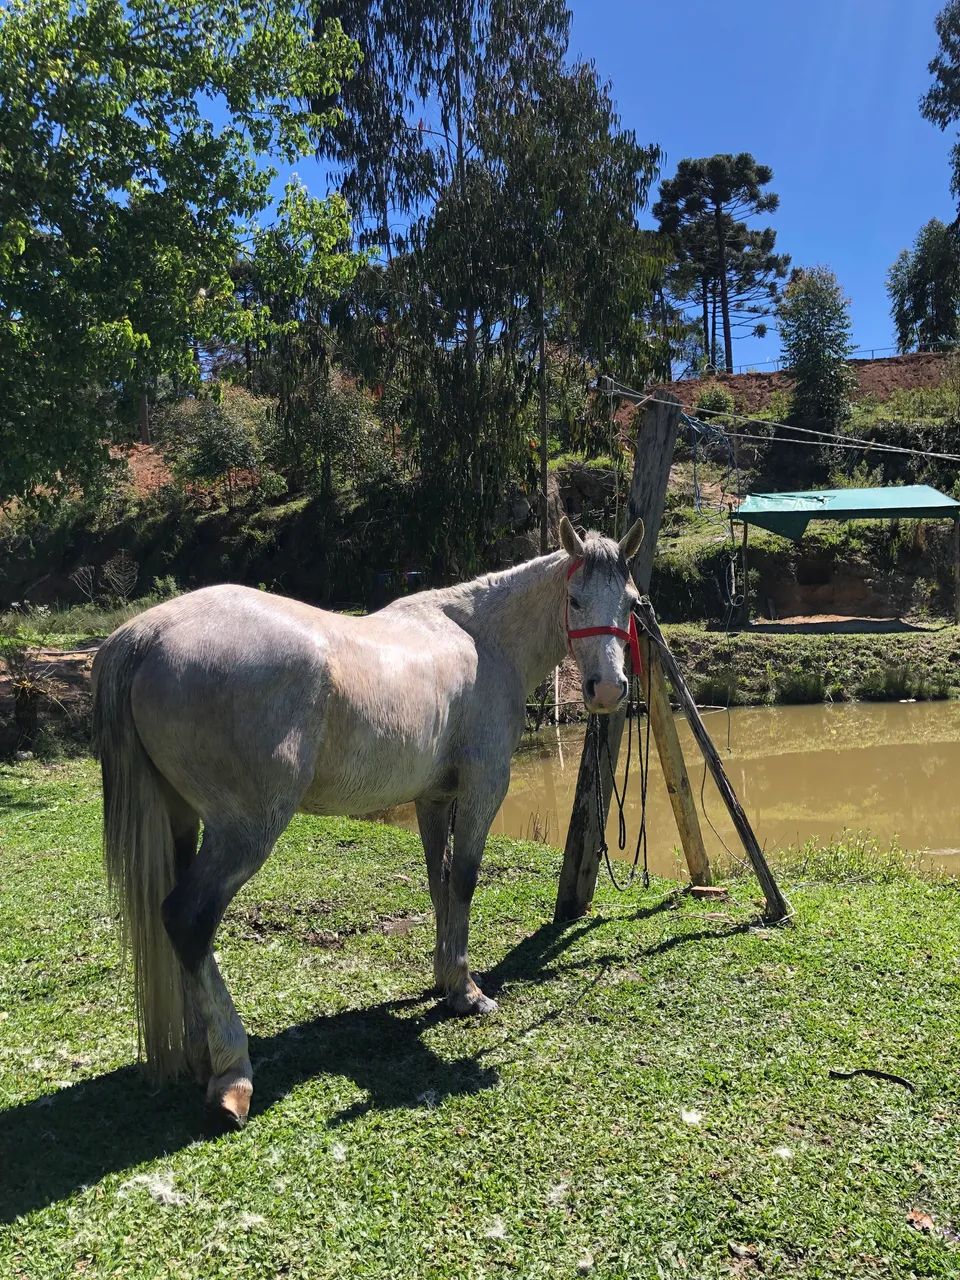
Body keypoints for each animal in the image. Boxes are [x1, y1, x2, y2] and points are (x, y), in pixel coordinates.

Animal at [92, 515, 644, 1129]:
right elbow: (465, 880)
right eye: (574, 599)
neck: (481, 639)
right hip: (244, 831)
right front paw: (467, 992)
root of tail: (147, 634)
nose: (608, 691)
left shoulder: (434, 800)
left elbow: (439, 883)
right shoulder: (482, 789)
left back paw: (199, 1053)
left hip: (181, 821)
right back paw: (232, 1073)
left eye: (632, 603)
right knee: (189, 920)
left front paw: (445, 981)